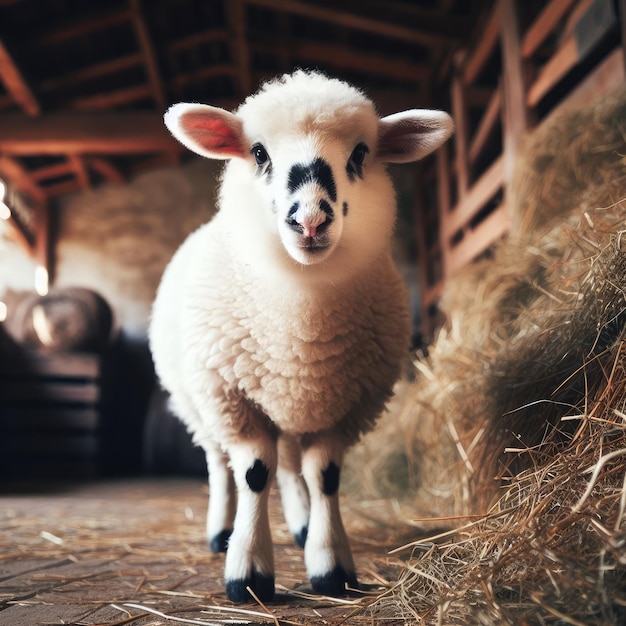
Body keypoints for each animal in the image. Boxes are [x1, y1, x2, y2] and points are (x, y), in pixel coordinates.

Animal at [151, 70, 454, 604]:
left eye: (360, 153)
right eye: (257, 153)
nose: (310, 219)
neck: (300, 329)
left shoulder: (346, 406)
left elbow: (324, 476)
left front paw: (331, 563)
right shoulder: (233, 398)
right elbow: (254, 473)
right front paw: (248, 570)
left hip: (296, 408)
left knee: (292, 468)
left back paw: (300, 525)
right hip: (199, 402)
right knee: (220, 465)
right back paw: (220, 531)